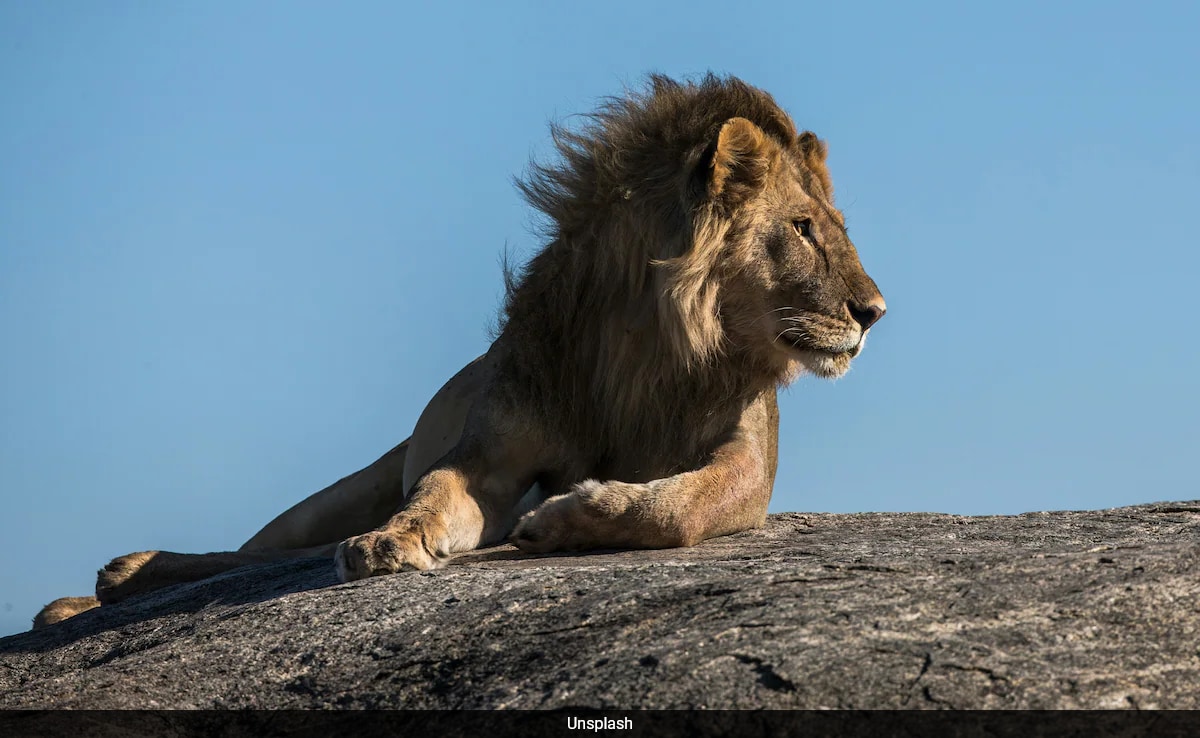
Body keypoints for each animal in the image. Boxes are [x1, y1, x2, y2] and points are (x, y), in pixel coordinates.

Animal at [35, 74, 885, 629]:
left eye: (834, 226)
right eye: (804, 228)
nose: (875, 312)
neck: (649, 352)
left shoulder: (748, 465)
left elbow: (678, 506)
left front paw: (567, 517)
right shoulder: (489, 455)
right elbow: (438, 491)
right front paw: (392, 541)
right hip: (344, 489)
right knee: (254, 553)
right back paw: (105, 585)